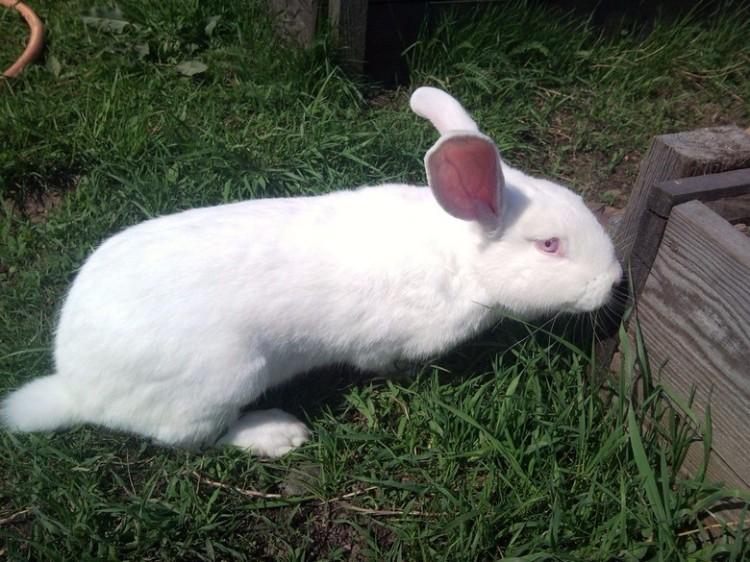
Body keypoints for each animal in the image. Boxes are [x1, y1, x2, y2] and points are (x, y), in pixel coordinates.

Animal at [1, 87, 622, 457]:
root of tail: (76, 385)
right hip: (224, 378)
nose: (614, 281)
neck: (457, 255)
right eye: (549, 245)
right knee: (194, 438)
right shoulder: (384, 342)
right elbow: (382, 362)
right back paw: (280, 432)